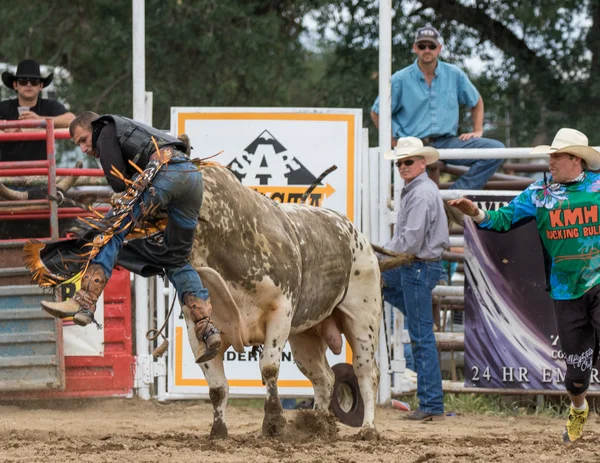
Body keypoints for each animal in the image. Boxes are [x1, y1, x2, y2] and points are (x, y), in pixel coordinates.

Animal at [185, 165, 380, 440]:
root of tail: (358, 237)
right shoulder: (197, 329)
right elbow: (217, 387)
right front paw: (218, 432)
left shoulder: (280, 312)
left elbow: (269, 368)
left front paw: (274, 423)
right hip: (306, 337)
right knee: (324, 378)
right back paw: (318, 425)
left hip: (363, 319)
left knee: (366, 373)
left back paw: (368, 429)